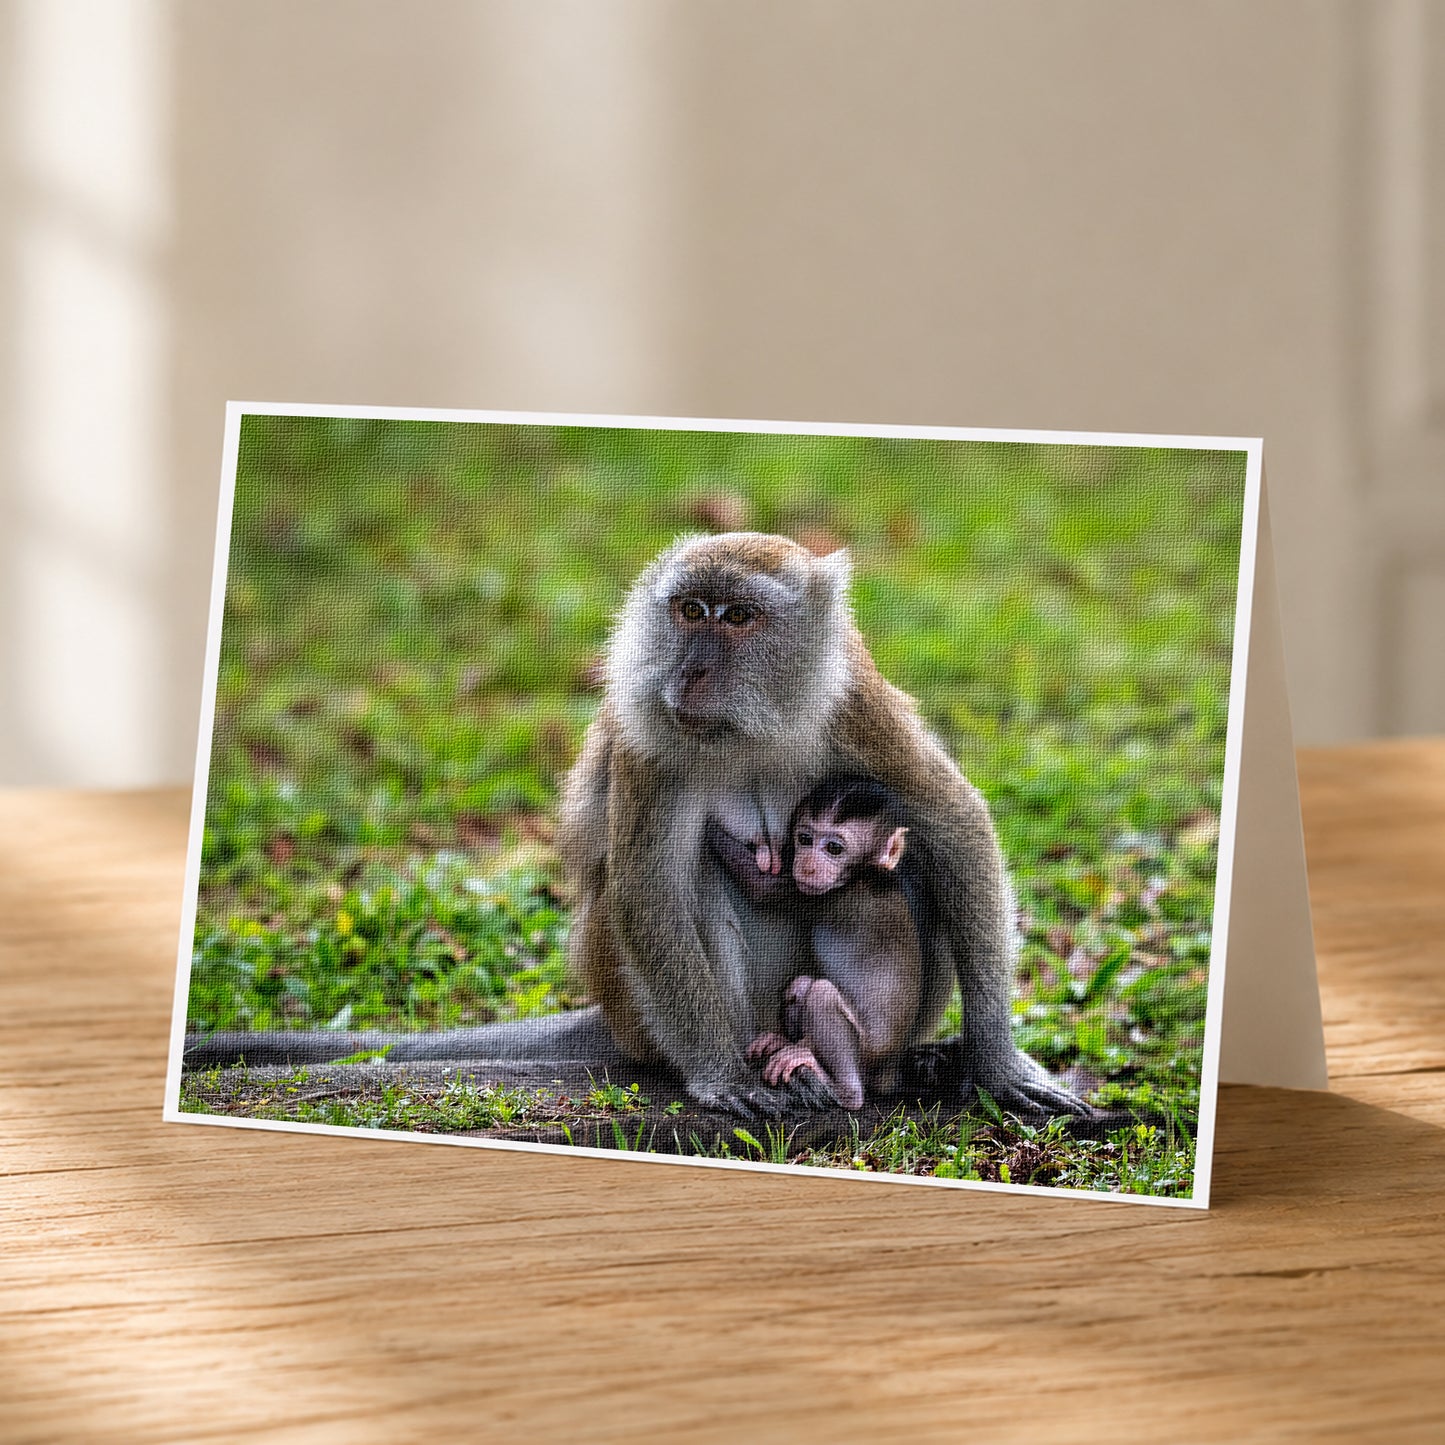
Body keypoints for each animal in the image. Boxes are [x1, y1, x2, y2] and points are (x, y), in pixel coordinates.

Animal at [705, 775, 923, 1110]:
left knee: (821, 994)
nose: (806, 865)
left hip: (869, 1054)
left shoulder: (831, 895)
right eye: (804, 839)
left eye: (834, 848)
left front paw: (713, 830)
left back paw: (843, 1088)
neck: (869, 873)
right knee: (802, 985)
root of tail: (888, 1070)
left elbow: (760, 887)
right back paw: (789, 1043)